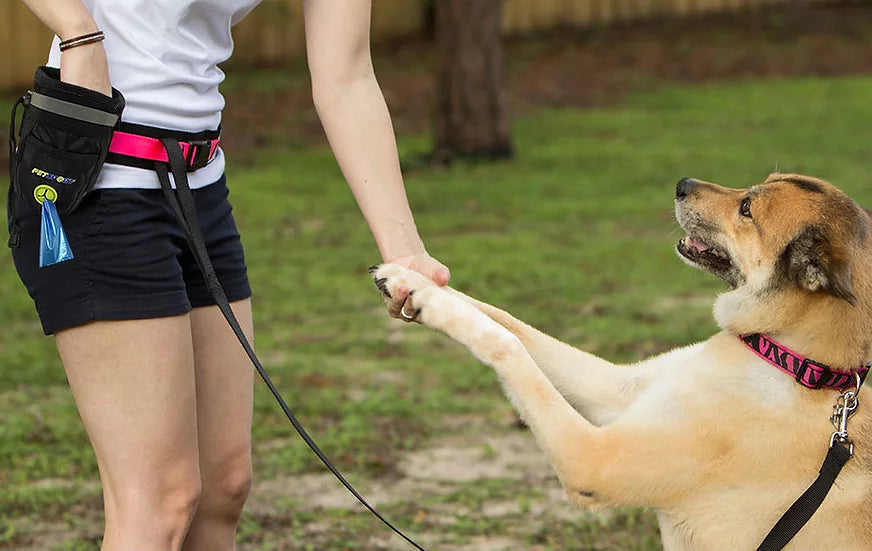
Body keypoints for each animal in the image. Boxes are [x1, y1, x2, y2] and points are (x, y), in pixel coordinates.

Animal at [372, 175, 872, 551]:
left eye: (747, 207)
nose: (682, 183)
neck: (795, 362)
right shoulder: (620, 390)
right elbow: (509, 321)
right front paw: (411, 277)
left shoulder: (592, 460)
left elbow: (504, 343)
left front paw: (429, 300)